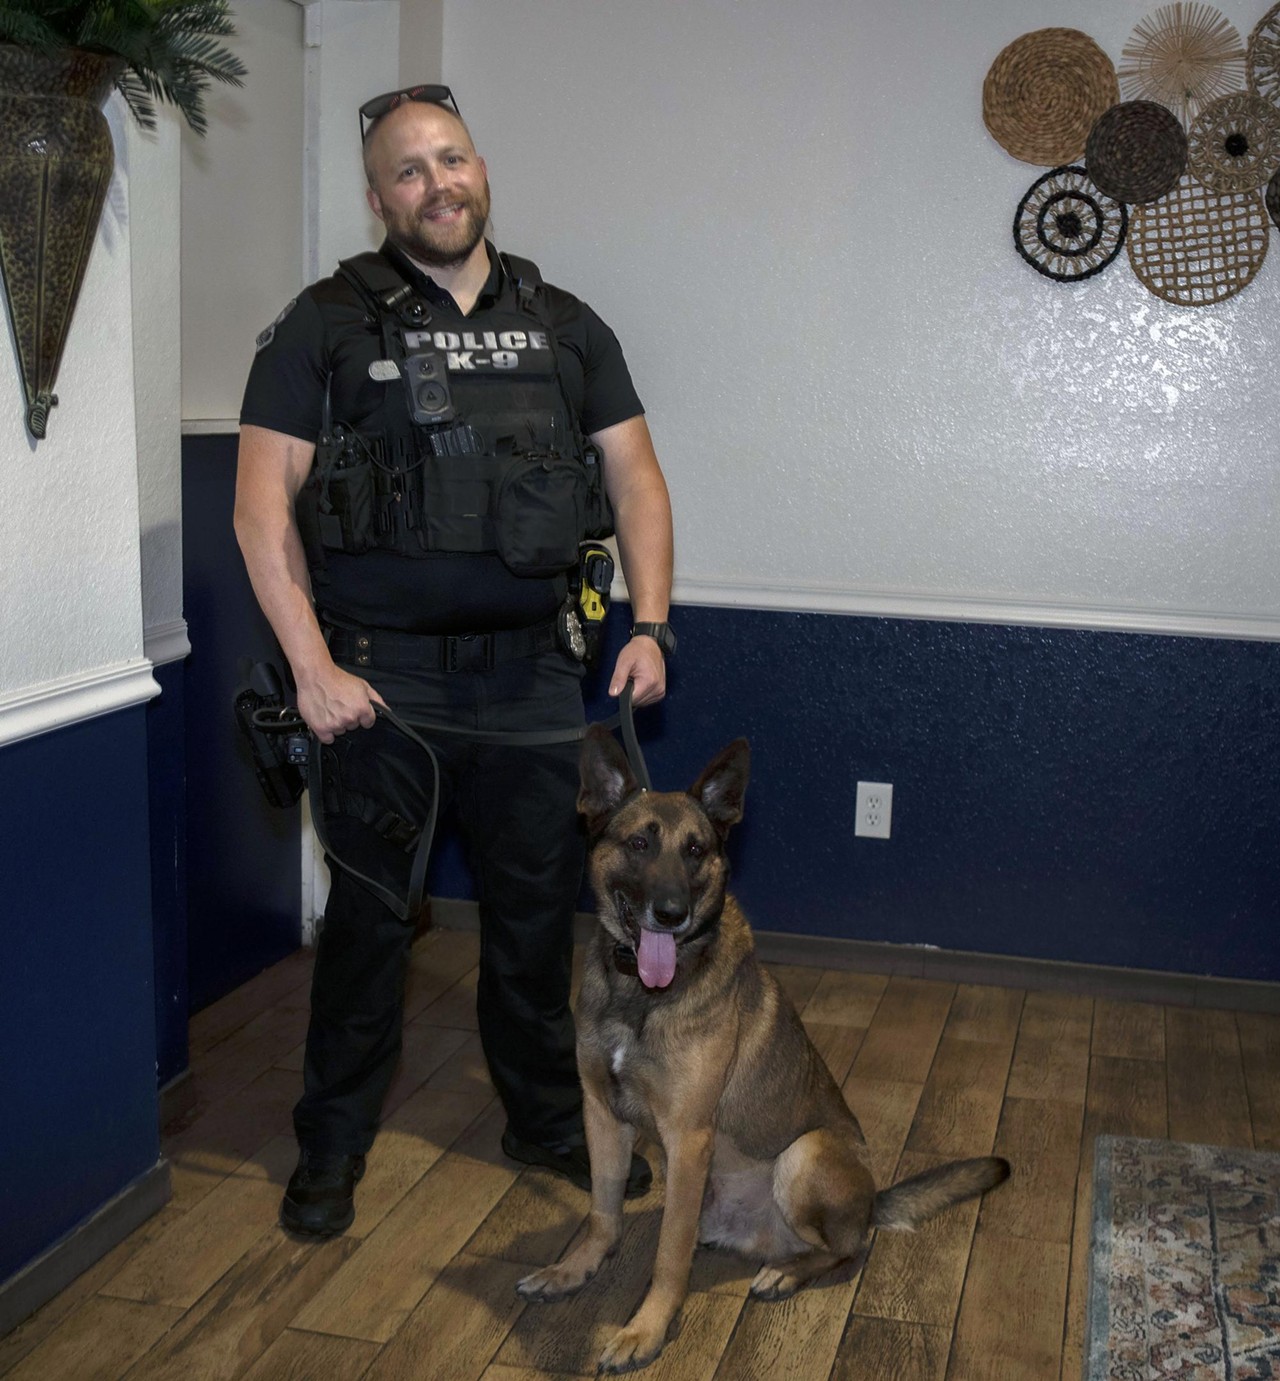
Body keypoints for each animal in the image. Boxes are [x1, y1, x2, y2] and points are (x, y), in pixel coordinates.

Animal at [513, 729, 1010, 1375]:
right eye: (640, 842)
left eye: (696, 850)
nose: (671, 913)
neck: (641, 997)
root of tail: (872, 1201)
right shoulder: (601, 1115)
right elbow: (603, 1212)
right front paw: (572, 1270)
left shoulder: (688, 1137)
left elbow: (668, 1259)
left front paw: (646, 1330)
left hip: (804, 1156)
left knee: (849, 1249)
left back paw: (786, 1272)